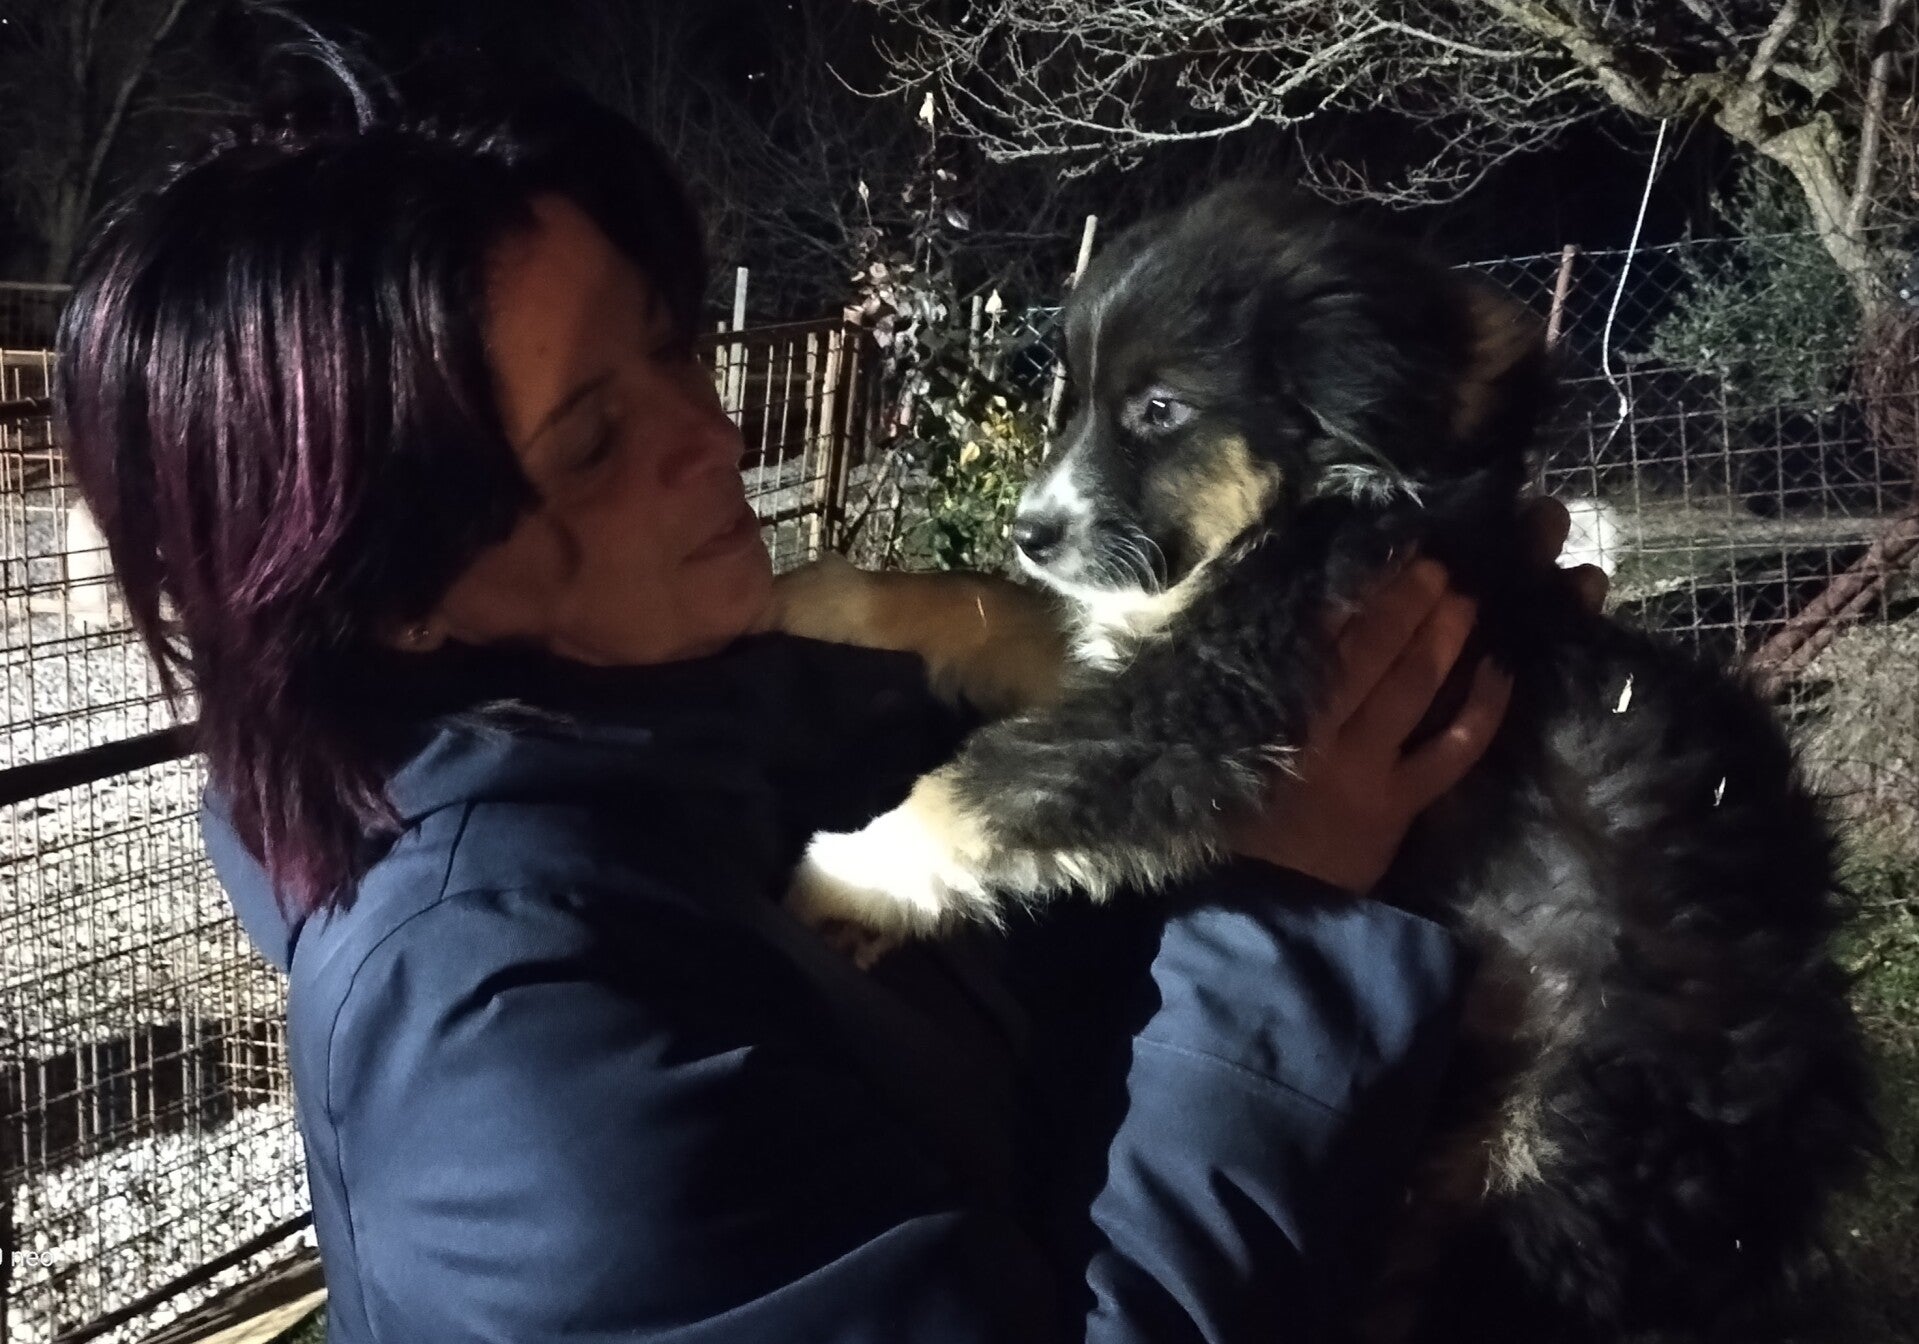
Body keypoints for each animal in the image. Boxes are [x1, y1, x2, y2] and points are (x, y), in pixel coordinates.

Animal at [772, 183, 1874, 1341]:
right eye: (1075, 403)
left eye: (1158, 409)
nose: (1029, 532)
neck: (1315, 502)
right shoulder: (1151, 633)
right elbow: (979, 607)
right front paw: (821, 595)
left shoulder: (1211, 690)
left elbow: (992, 784)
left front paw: (837, 877)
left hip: (1552, 1174)